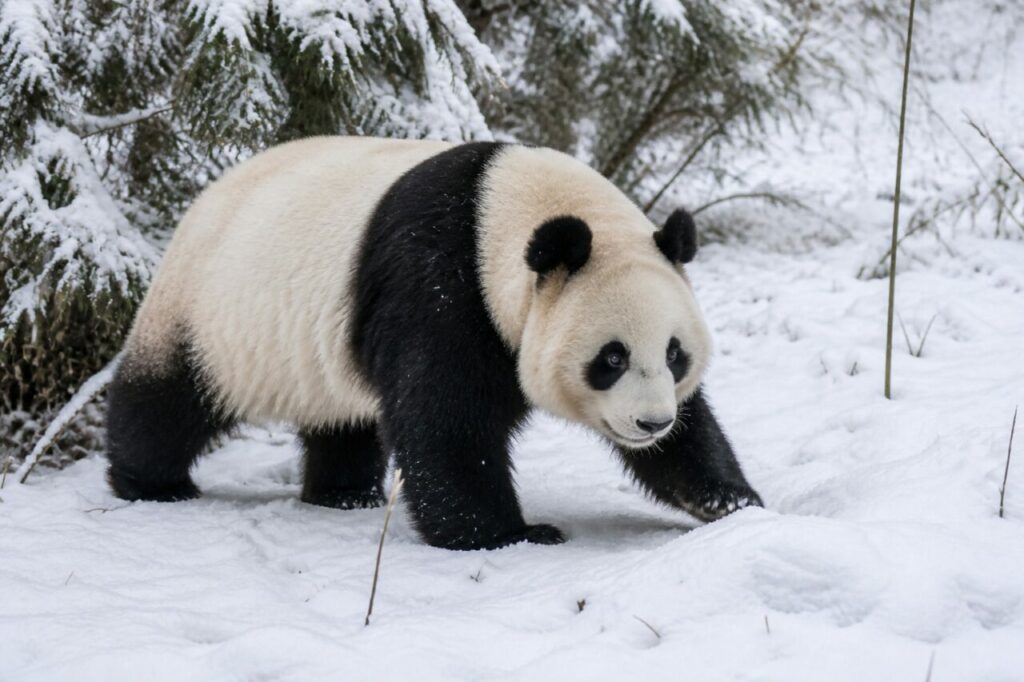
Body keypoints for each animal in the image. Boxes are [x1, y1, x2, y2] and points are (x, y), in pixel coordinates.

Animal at [106, 137, 762, 550]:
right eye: (611, 358)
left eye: (675, 354)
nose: (652, 423)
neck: (496, 209)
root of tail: (202, 201)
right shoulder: (440, 287)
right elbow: (447, 421)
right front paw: (511, 535)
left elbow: (693, 435)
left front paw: (733, 504)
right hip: (209, 310)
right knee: (167, 400)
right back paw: (151, 484)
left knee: (341, 419)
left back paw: (343, 496)